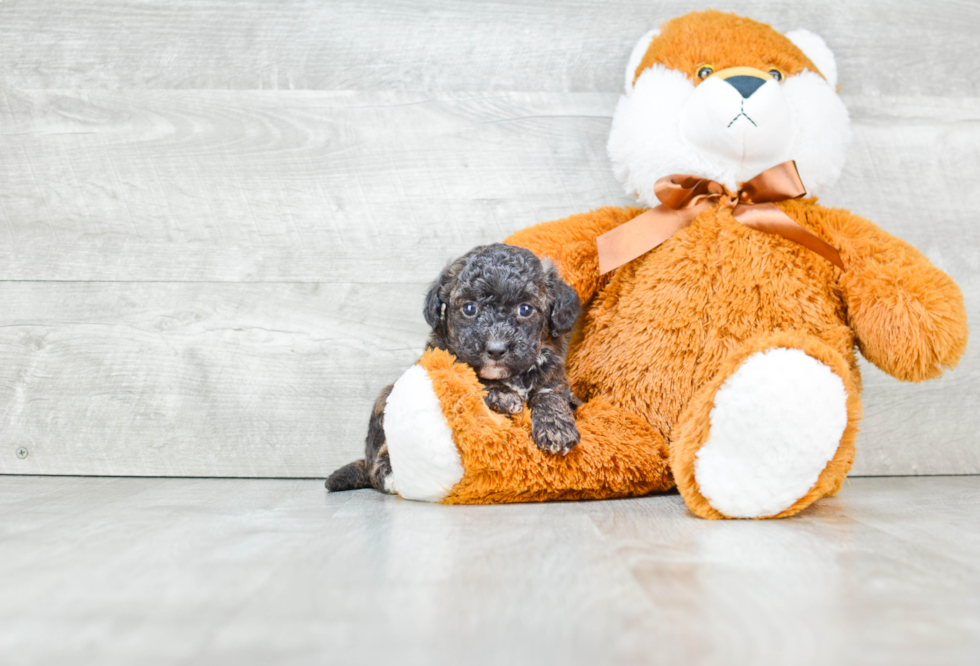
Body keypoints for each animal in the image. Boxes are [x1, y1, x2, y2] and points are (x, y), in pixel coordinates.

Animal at [328, 244, 580, 492]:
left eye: (525, 309)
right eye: (469, 308)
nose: (496, 349)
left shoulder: (553, 373)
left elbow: (551, 394)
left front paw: (556, 427)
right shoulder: (443, 358)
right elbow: (473, 377)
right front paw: (504, 395)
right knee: (377, 463)